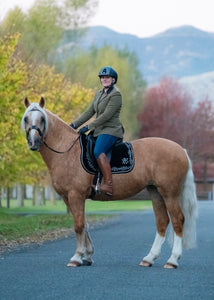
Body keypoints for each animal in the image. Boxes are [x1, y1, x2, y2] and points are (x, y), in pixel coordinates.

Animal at [21, 98, 197, 270]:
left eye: (42, 119)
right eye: (26, 119)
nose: (33, 142)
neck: (67, 150)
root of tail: (180, 149)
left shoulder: (75, 195)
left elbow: (79, 225)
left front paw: (77, 257)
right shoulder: (67, 197)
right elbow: (84, 224)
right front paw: (87, 255)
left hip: (169, 193)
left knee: (178, 220)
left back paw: (172, 260)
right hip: (156, 192)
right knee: (162, 222)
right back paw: (149, 258)